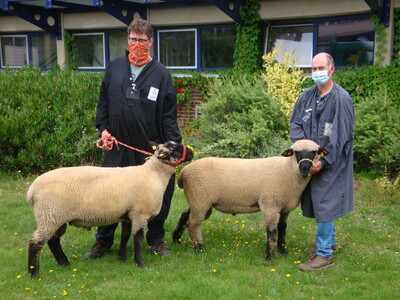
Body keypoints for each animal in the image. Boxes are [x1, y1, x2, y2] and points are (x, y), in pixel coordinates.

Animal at [26, 142, 194, 278]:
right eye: (176, 149)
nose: (192, 153)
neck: (153, 174)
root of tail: (31, 191)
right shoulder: (140, 213)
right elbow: (138, 238)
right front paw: (139, 263)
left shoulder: (128, 215)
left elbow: (125, 235)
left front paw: (122, 257)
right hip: (49, 214)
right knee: (36, 242)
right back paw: (34, 273)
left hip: (56, 217)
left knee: (53, 240)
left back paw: (64, 263)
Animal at [173, 140, 328, 260]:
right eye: (296, 152)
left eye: (314, 152)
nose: (305, 168)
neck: (289, 170)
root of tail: (183, 172)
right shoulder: (270, 204)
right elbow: (272, 231)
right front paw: (270, 256)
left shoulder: (284, 207)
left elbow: (282, 228)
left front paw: (283, 251)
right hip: (200, 199)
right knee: (193, 224)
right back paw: (199, 248)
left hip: (199, 201)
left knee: (185, 216)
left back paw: (177, 239)